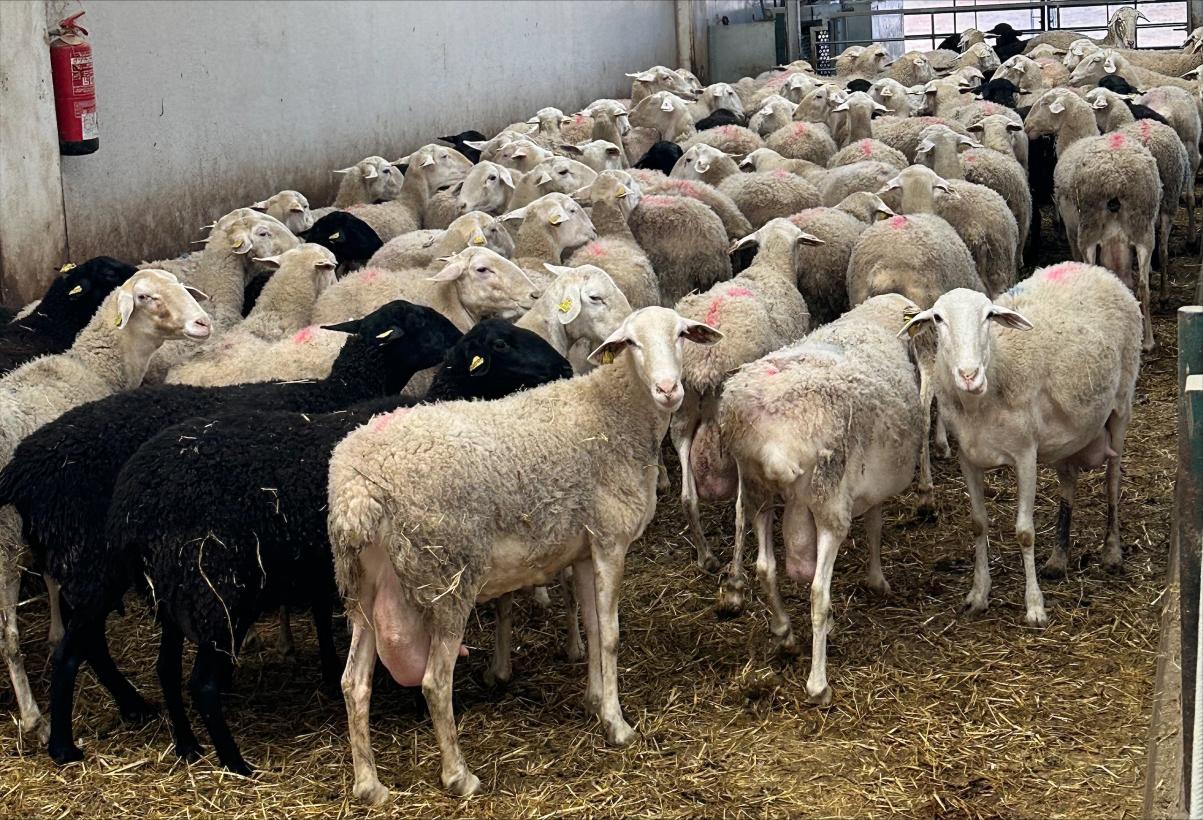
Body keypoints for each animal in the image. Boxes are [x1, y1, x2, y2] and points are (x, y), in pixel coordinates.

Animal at [108, 316, 570, 775]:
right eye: (501, 343)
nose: (564, 366)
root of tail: (132, 500)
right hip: (217, 591)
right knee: (202, 684)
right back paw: (235, 763)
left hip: (172, 592)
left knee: (166, 670)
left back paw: (187, 746)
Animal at [328, 305, 721, 802]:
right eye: (630, 342)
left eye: (682, 335)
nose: (669, 390)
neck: (614, 412)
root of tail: (354, 491)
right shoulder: (611, 540)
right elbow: (610, 637)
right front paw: (617, 725)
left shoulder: (587, 549)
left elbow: (593, 628)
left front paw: (595, 702)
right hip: (447, 578)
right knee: (435, 683)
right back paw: (458, 776)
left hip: (362, 584)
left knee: (353, 682)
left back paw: (368, 784)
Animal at [671, 219, 815, 571]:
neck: (771, 267)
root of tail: (705, 362)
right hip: (738, 426)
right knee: (741, 508)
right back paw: (736, 569)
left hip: (682, 414)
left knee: (687, 497)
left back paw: (706, 557)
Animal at [716, 292, 922, 700]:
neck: (871, 322)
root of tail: (776, 444)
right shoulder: (869, 489)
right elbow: (875, 526)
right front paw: (877, 579)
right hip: (830, 504)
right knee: (817, 593)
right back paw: (818, 683)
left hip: (757, 489)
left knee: (766, 567)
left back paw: (785, 635)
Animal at [898, 263, 1141, 626]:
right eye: (938, 318)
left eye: (989, 316)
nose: (969, 375)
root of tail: (1094, 269)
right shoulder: (967, 457)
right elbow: (978, 524)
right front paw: (978, 594)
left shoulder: (1026, 455)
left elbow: (1025, 532)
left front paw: (1035, 606)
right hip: (1068, 433)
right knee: (1069, 479)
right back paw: (1058, 557)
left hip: (1121, 405)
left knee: (1113, 479)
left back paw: (1112, 550)